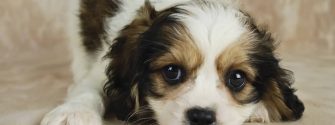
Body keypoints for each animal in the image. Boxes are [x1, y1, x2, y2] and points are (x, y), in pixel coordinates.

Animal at [41, 0, 304, 125]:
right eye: (171, 72)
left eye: (237, 78)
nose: (202, 117)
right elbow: (88, 89)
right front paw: (73, 113)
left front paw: (260, 108)